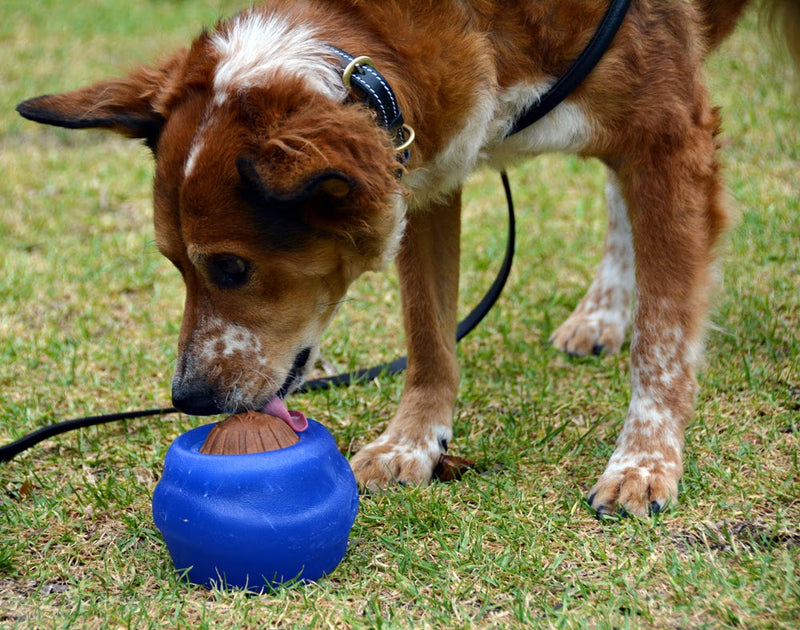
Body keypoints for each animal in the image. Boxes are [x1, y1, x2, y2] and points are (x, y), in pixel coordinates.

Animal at [18, 1, 800, 520]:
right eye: (174, 264)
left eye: (232, 268)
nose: (188, 401)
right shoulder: (427, 172)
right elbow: (428, 335)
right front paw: (414, 443)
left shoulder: (670, 137)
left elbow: (664, 339)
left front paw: (645, 460)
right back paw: (604, 311)